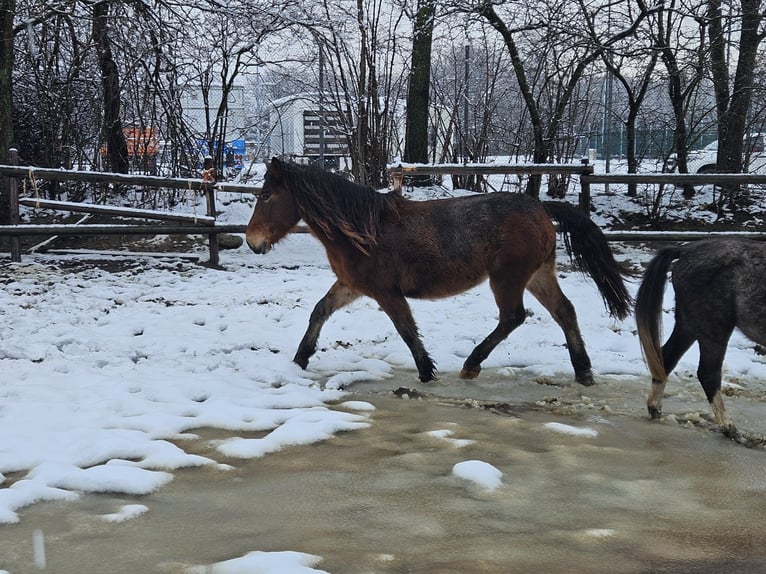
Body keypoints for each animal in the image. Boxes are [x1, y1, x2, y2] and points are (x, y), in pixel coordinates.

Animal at [246, 158, 632, 388]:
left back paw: (472, 364)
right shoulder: (351, 285)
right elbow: (319, 311)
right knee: (564, 311)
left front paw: (426, 371)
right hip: (538, 275)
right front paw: (299, 360)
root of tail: (539, 207)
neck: (363, 229)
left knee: (513, 317)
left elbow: (406, 329)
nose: (252, 242)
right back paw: (583, 371)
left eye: (265, 196)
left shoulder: (386, 292)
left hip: (507, 279)